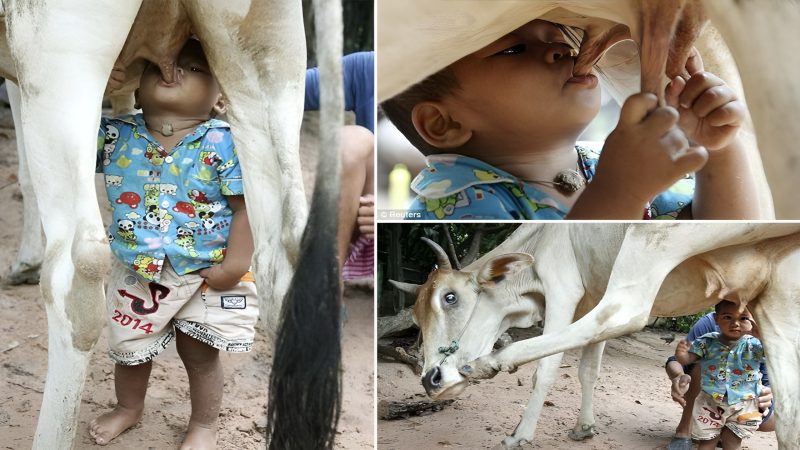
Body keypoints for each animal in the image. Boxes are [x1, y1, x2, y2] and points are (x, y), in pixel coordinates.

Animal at [0, 1, 340, 448]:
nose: (176, 71)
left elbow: (24, 170)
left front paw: (24, 263)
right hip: (269, 60)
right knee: (282, 254)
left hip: (54, 56)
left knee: (78, 269)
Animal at [390, 225, 800, 450]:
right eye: (417, 315)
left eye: (451, 297)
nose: (431, 379)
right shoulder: (591, 294)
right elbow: (589, 369)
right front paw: (584, 427)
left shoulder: (562, 289)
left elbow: (548, 369)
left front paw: (520, 434)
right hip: (778, 297)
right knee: (789, 413)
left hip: (653, 236)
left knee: (626, 308)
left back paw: (490, 361)